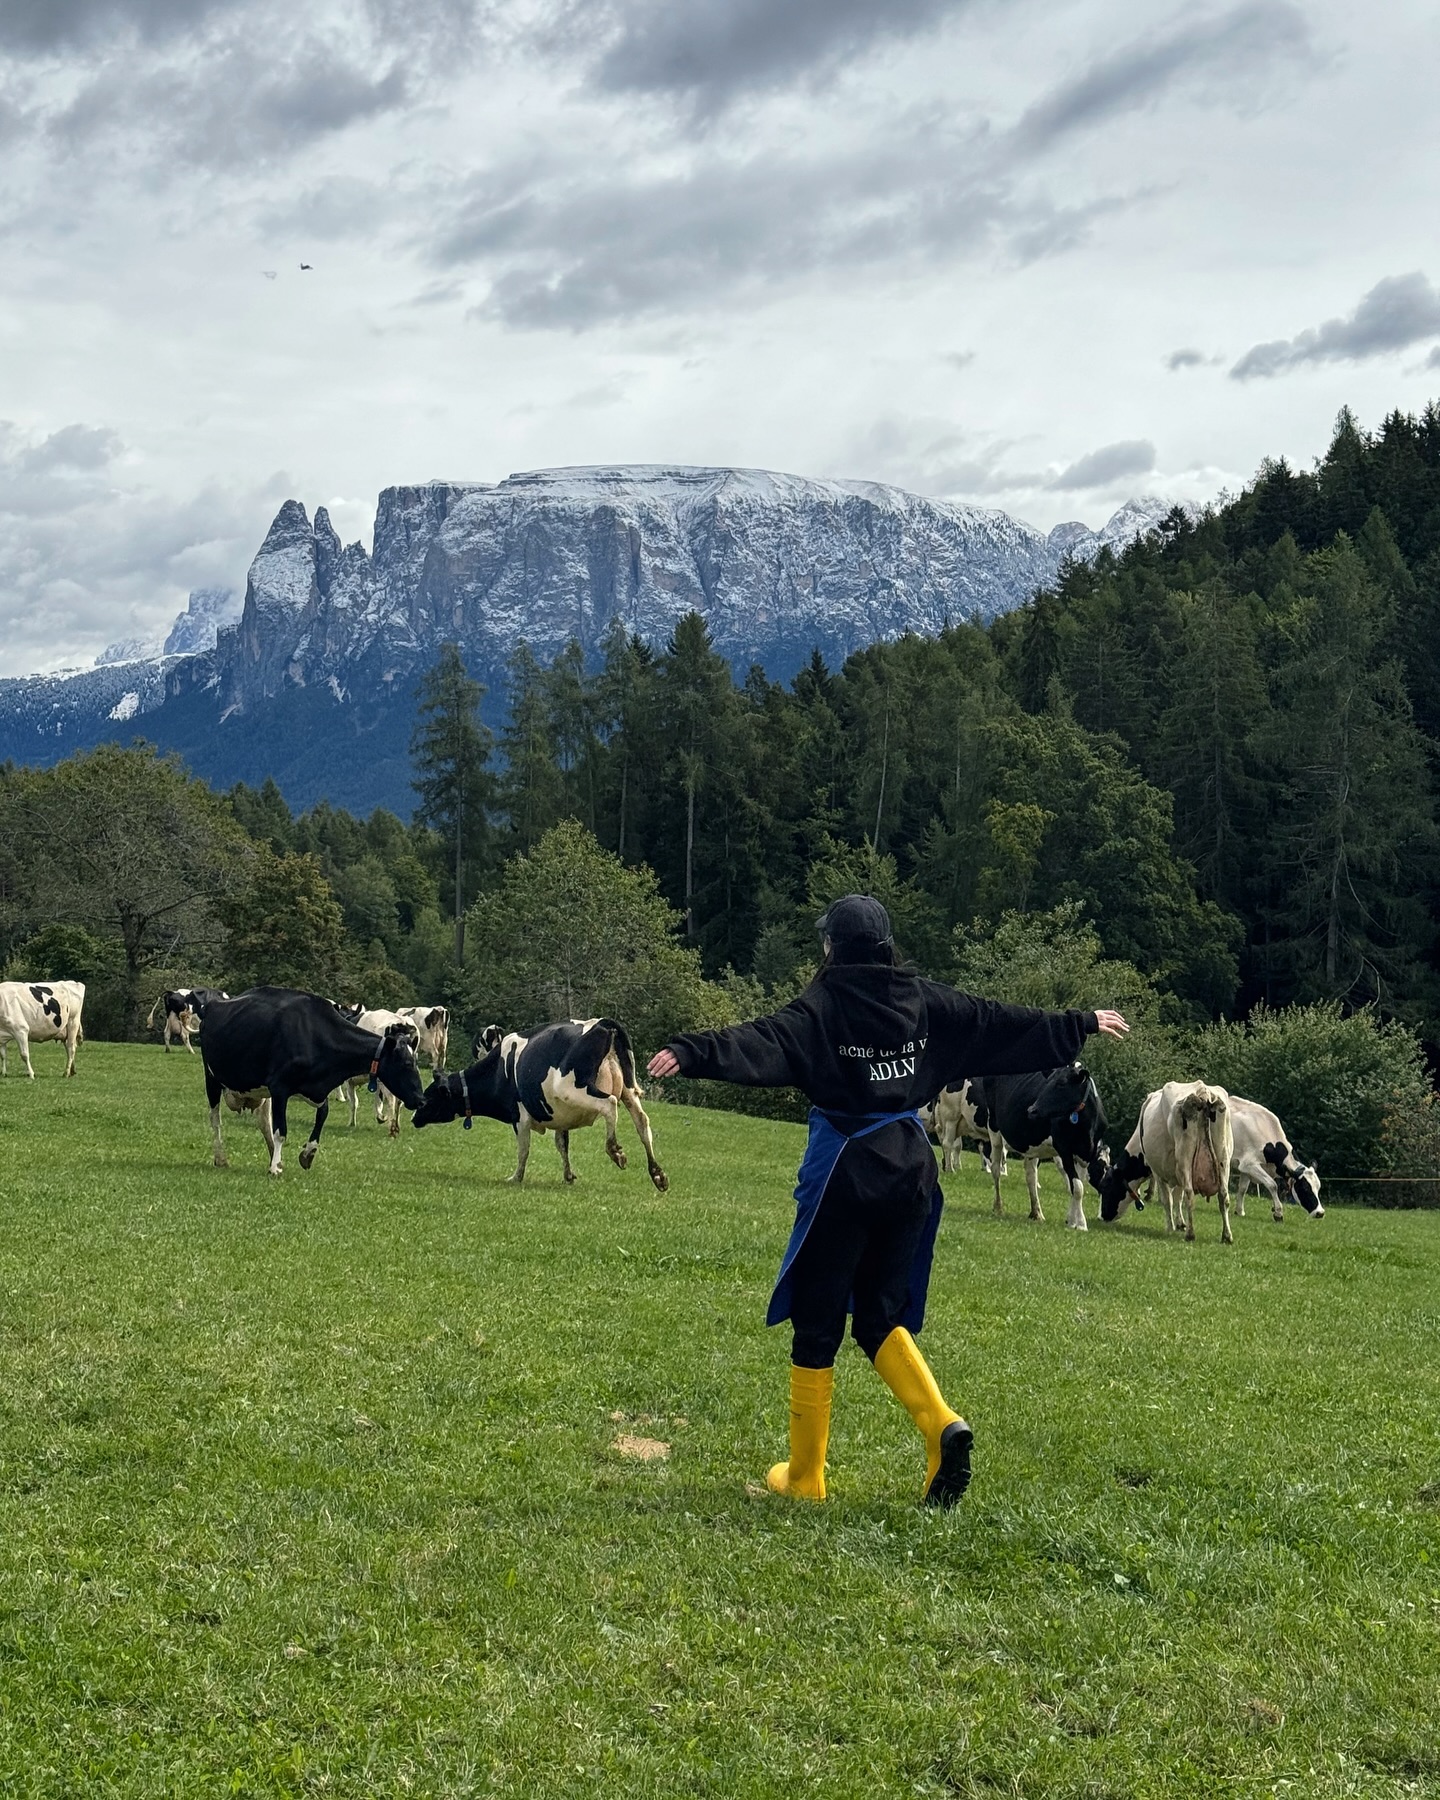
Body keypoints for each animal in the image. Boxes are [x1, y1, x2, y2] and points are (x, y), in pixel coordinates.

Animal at [202, 986, 428, 1180]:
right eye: (407, 1063)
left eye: (416, 1061)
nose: (421, 1100)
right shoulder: (279, 1087)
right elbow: (281, 1131)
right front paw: (275, 1168)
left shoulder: (318, 1090)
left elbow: (322, 1116)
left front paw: (307, 1154)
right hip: (211, 1078)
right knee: (215, 1120)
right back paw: (221, 1158)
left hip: (260, 1093)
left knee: (263, 1122)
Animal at [414, 1015, 666, 1195]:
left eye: (430, 1097)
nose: (414, 1117)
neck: (499, 1071)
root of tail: (602, 1023)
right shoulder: (560, 1117)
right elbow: (562, 1145)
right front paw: (568, 1176)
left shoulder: (520, 1116)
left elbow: (523, 1150)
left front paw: (516, 1177)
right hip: (628, 1090)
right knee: (642, 1122)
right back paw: (657, 1174)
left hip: (574, 1089)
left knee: (609, 1105)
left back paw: (615, 1150)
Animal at [979, 1058, 1116, 1231]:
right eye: (1048, 1082)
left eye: (1061, 1084)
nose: (1032, 1109)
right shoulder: (1064, 1149)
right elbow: (1077, 1187)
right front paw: (1080, 1223)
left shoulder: (1085, 1154)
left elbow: (1076, 1186)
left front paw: (1071, 1220)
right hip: (994, 1129)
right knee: (996, 1169)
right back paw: (998, 1207)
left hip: (1030, 1146)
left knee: (1030, 1175)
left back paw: (1036, 1213)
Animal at [1094, 1080, 1231, 1238]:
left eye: (1104, 1186)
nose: (1100, 1217)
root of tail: (1202, 1091)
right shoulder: (1177, 1173)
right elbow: (1177, 1198)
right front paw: (1180, 1224)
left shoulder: (1157, 1171)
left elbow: (1168, 1200)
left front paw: (1170, 1228)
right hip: (1223, 1158)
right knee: (1223, 1196)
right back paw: (1227, 1236)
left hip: (1185, 1158)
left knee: (1190, 1194)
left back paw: (1190, 1234)